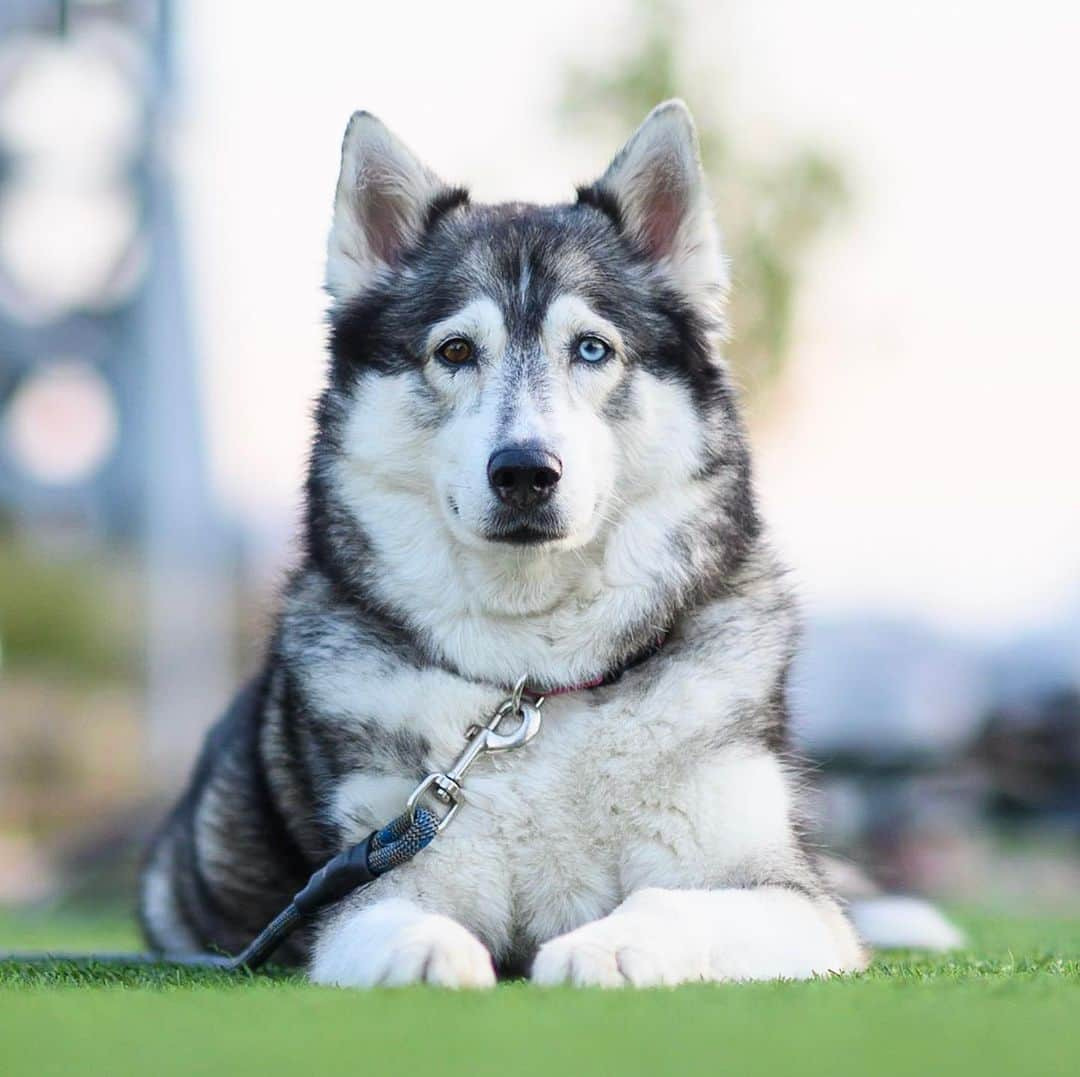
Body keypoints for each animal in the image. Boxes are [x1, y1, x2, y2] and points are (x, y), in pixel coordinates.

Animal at [139, 101, 876, 985]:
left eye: (591, 347)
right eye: (456, 350)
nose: (525, 469)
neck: (537, 681)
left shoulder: (788, 897)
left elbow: (676, 902)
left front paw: (608, 943)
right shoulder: (378, 868)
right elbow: (390, 918)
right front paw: (428, 954)